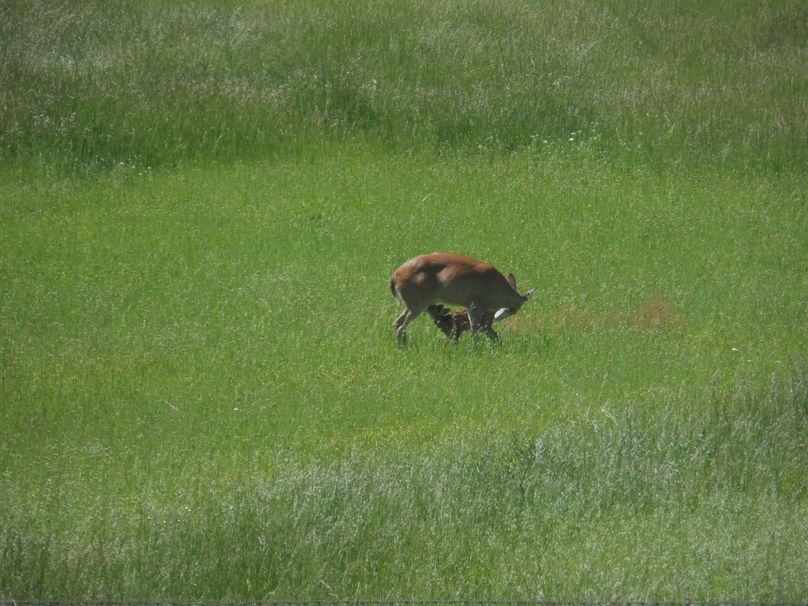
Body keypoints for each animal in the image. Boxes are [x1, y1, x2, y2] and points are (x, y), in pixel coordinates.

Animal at [390, 253, 536, 344]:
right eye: (515, 310)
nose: (498, 316)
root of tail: (395, 276)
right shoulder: (476, 304)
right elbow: (474, 328)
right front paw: (476, 349)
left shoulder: (471, 306)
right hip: (418, 302)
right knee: (401, 326)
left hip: (414, 302)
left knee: (397, 322)